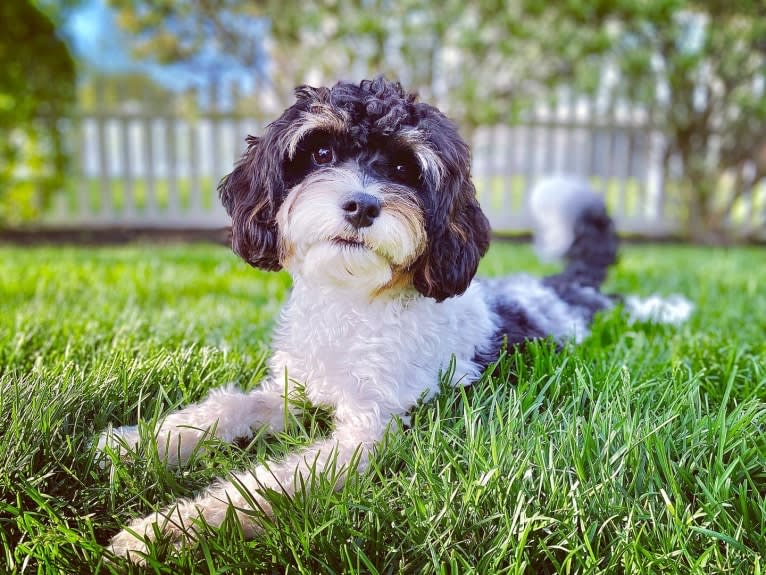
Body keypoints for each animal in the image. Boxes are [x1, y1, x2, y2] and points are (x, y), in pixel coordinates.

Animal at [97, 76, 696, 564]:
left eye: (407, 168)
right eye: (320, 151)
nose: (362, 205)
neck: (354, 304)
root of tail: (561, 285)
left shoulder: (369, 432)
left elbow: (264, 484)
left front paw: (163, 533)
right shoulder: (294, 392)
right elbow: (224, 409)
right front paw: (136, 442)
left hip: (604, 311)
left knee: (629, 304)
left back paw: (670, 309)